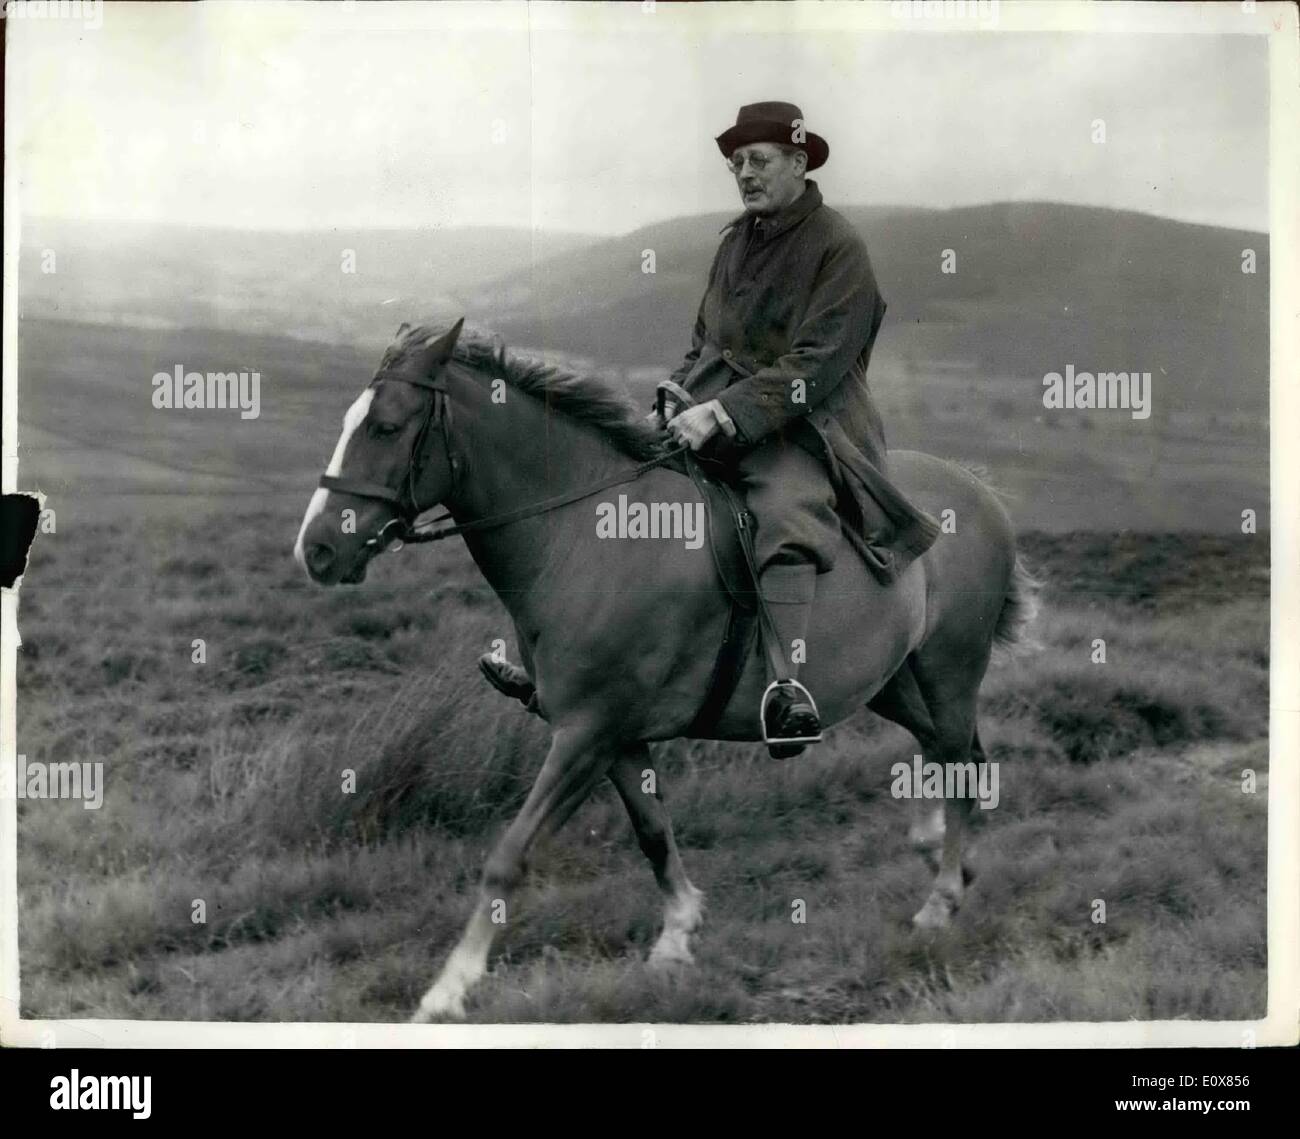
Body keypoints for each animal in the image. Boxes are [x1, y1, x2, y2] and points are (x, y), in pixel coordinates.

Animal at [295, 319, 1034, 1024]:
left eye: (387, 427)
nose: (318, 550)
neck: (583, 535)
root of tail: (981, 491)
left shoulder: (586, 733)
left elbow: (509, 855)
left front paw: (449, 989)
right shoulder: (616, 736)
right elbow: (652, 831)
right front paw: (678, 933)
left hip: (948, 670)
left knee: (959, 758)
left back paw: (940, 899)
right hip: (894, 682)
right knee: (949, 749)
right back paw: (943, 853)